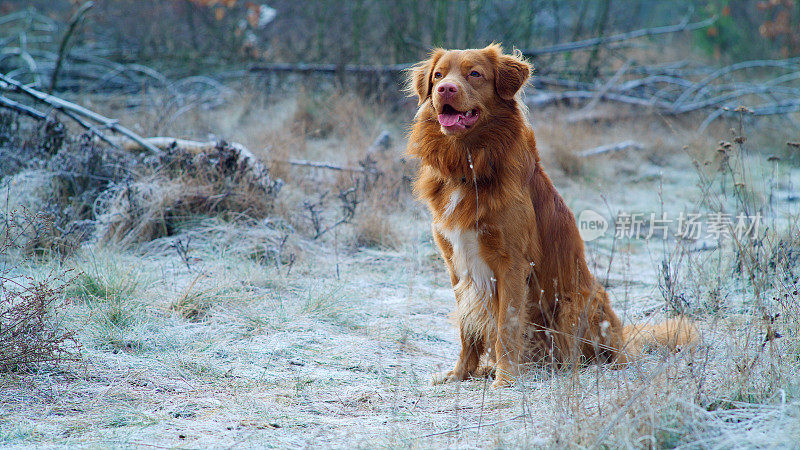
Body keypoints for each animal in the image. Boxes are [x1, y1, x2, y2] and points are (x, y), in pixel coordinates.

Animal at [406, 45, 692, 390]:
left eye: (474, 74)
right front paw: (461, 373)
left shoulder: (512, 264)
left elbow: (506, 325)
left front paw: (505, 378)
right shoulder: (456, 264)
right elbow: (466, 326)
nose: (445, 89)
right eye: (438, 75)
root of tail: (624, 340)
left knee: (592, 354)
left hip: (577, 302)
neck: (469, 166)